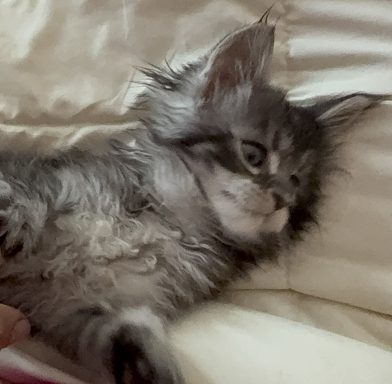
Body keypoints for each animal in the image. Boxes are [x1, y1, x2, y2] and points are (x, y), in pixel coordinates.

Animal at [0, 17, 382, 384]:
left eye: (296, 184)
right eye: (254, 155)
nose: (281, 200)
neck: (167, 225)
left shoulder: (77, 308)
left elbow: (128, 337)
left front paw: (152, 371)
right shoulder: (42, 181)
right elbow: (22, 199)